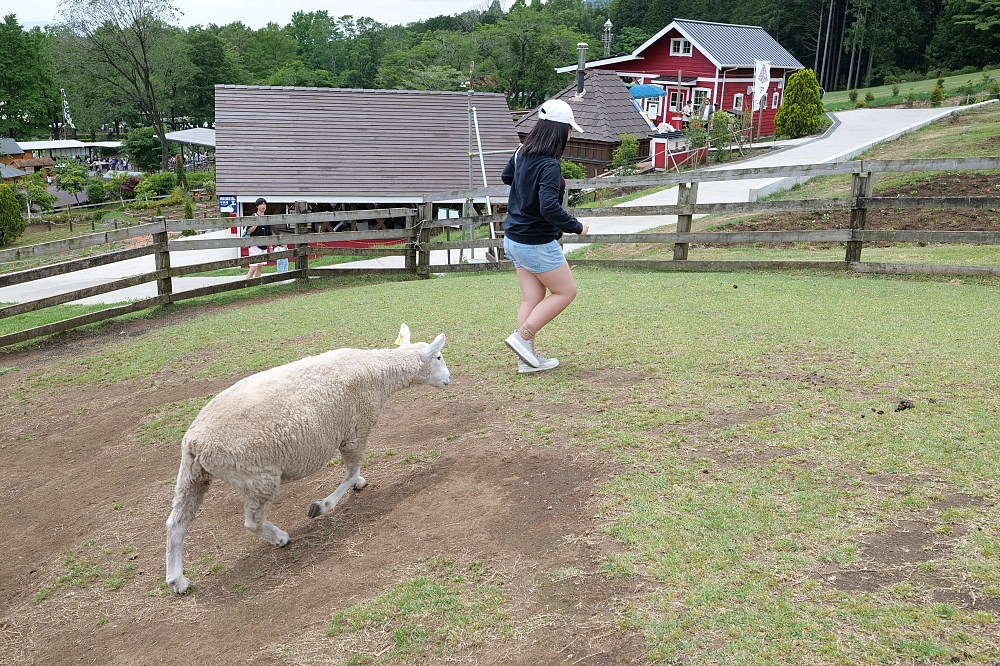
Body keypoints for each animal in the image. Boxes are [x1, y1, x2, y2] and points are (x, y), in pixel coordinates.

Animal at [165, 322, 450, 592]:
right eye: (438, 357)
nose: (449, 378)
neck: (380, 373)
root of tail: (195, 442)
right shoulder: (356, 430)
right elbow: (351, 472)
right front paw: (322, 506)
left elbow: (354, 473)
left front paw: (358, 484)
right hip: (257, 475)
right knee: (251, 521)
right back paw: (279, 538)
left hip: (194, 475)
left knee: (176, 523)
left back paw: (178, 580)